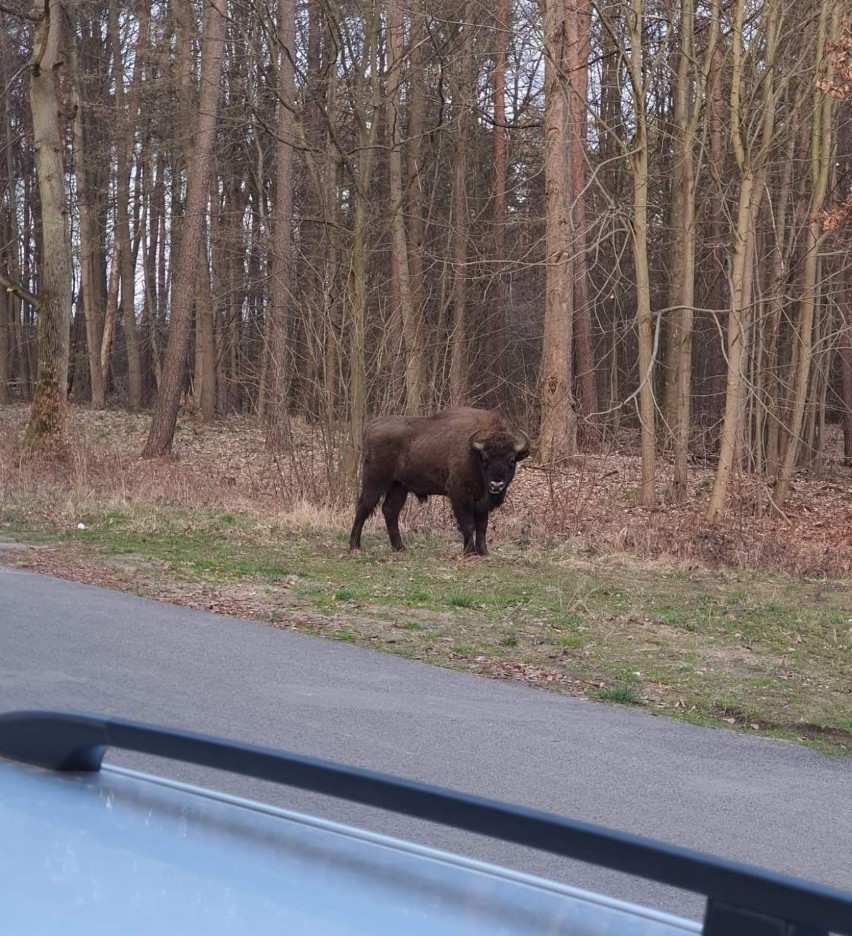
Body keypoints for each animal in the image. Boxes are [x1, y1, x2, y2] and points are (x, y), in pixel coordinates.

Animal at [350, 408, 528, 556]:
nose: (496, 485)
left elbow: (482, 526)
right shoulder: (460, 496)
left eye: (511, 460)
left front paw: (484, 552)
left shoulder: (482, 503)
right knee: (363, 507)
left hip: (399, 487)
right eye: (485, 458)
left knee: (390, 510)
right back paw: (354, 545)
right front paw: (469, 551)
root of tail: (370, 427)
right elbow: (468, 524)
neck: (473, 455)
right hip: (374, 482)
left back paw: (400, 547)